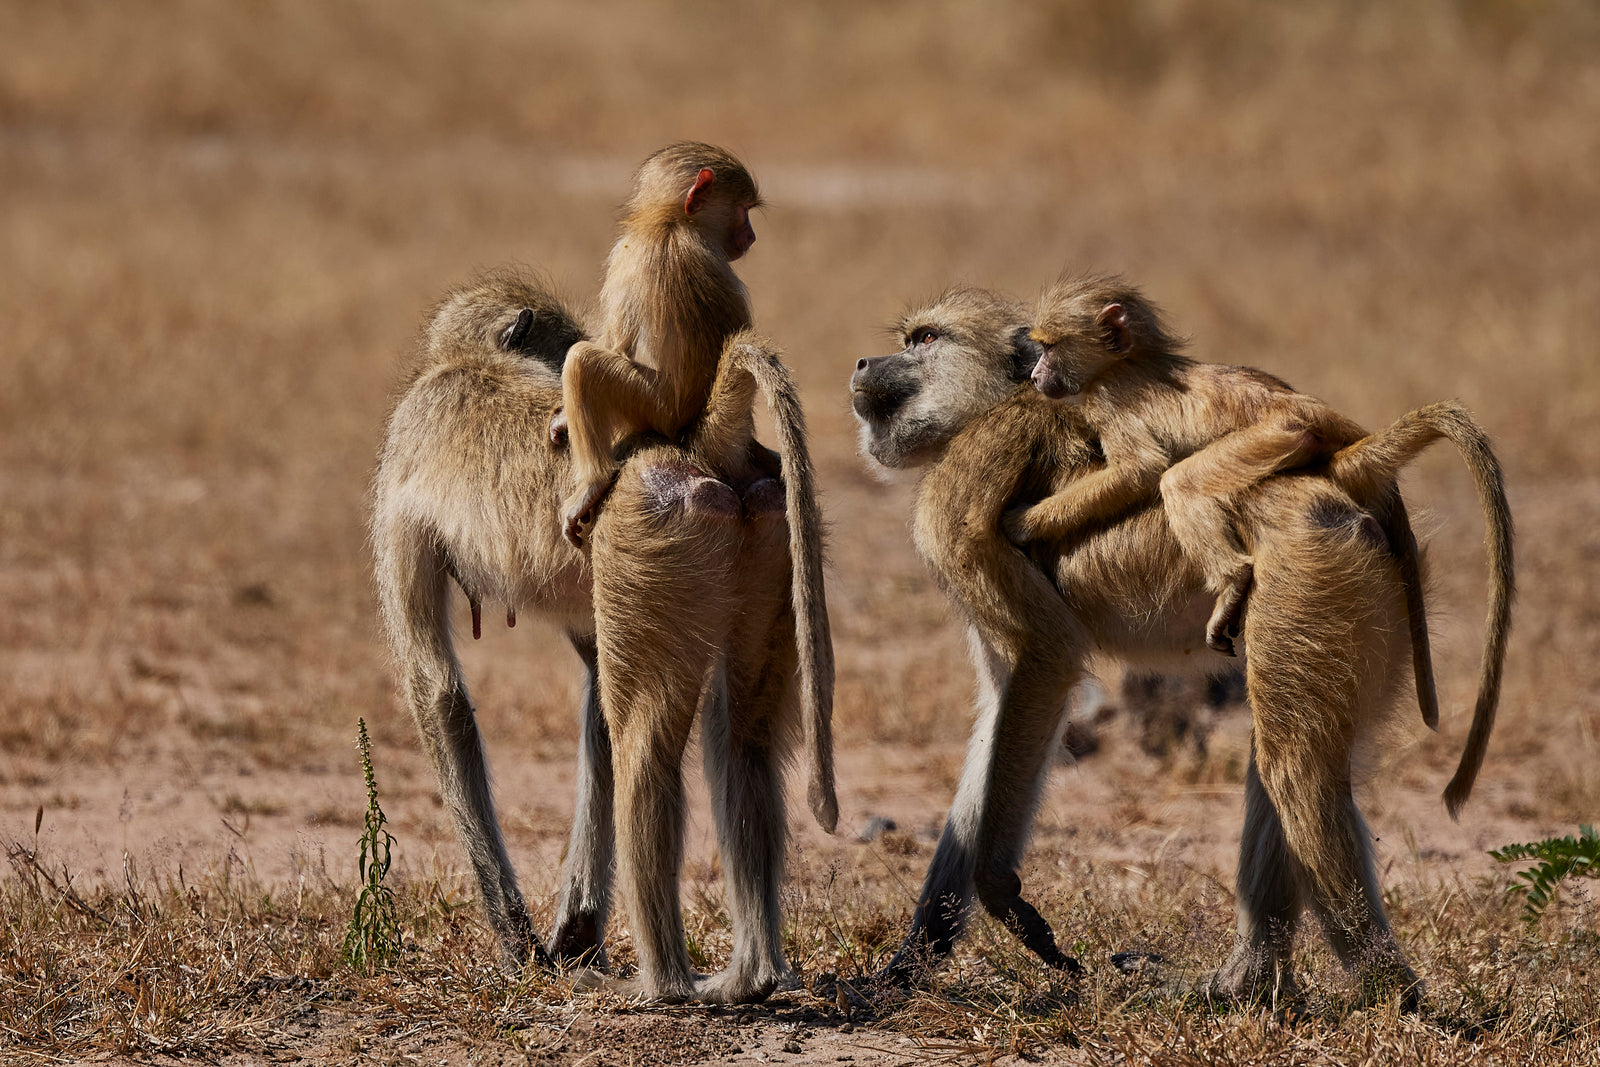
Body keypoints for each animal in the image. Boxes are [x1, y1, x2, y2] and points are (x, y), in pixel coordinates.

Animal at [371, 261, 835, 1005]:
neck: (470, 362)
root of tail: (699, 441)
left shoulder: (403, 462)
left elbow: (436, 690)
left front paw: (518, 943)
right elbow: (594, 697)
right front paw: (576, 931)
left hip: (653, 535)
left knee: (644, 743)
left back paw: (665, 985)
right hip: (770, 532)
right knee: (741, 737)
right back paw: (750, 977)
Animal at [556, 142, 761, 548]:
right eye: (743, 212)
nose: (752, 237)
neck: (673, 223)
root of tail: (689, 427)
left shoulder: (624, 254)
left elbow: (615, 342)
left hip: (652, 409)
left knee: (582, 362)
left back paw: (593, 484)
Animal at [849, 287, 1513, 1009]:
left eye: (924, 339)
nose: (862, 364)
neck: (996, 402)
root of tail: (1339, 476)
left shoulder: (958, 499)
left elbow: (1047, 659)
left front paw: (998, 891)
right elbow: (1002, 705)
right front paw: (906, 968)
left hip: (1312, 576)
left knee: (1295, 773)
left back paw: (1390, 994)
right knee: (1280, 764)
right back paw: (1243, 984)